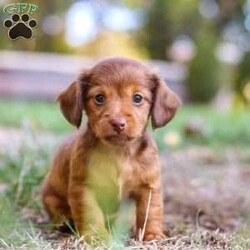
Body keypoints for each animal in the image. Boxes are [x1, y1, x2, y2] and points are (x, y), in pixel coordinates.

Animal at [42, 57, 181, 241]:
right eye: (99, 98)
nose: (118, 123)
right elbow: (91, 214)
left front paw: (152, 235)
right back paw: (65, 222)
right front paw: (97, 237)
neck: (119, 152)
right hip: (51, 197)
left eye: (137, 98)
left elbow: (150, 212)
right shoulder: (83, 188)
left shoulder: (149, 187)